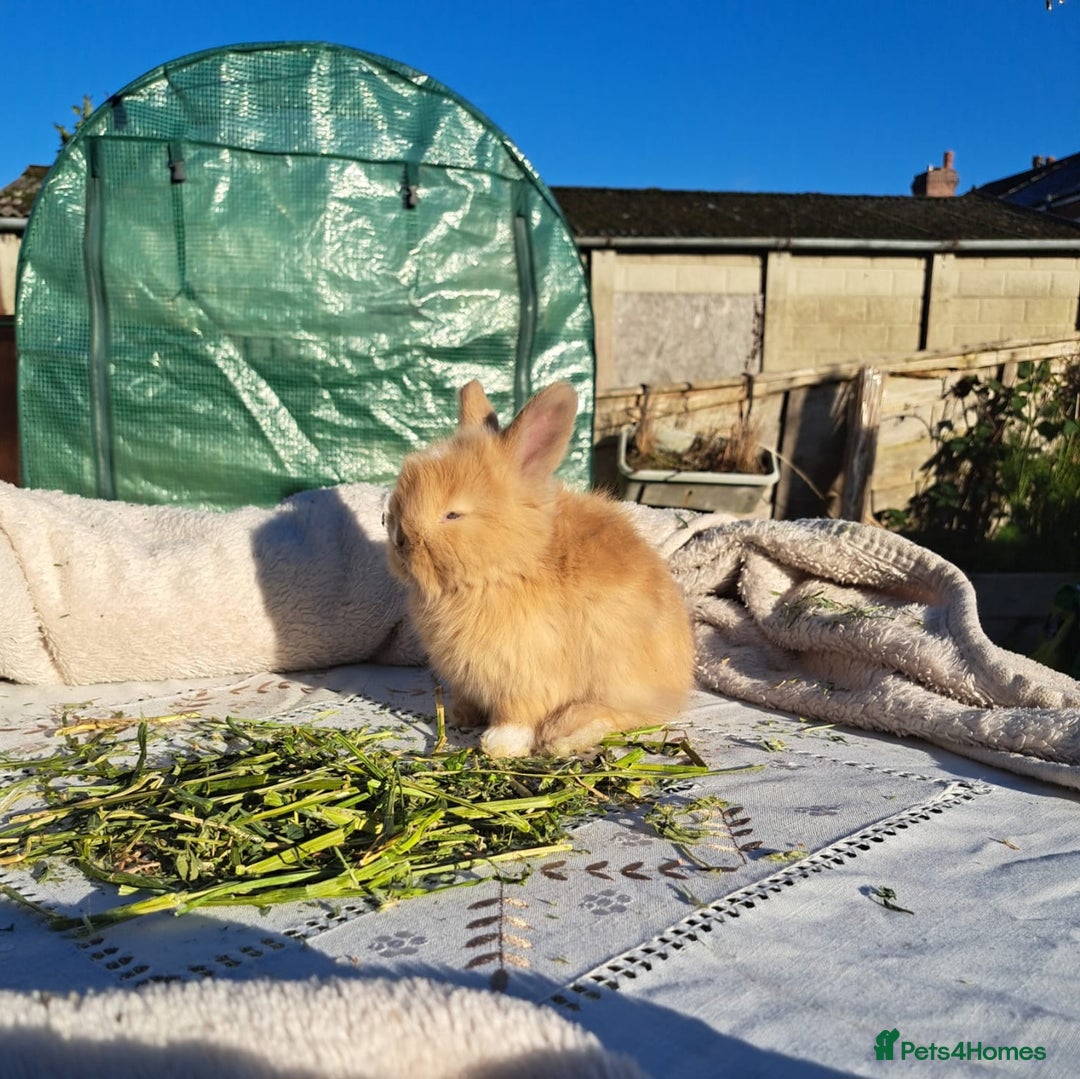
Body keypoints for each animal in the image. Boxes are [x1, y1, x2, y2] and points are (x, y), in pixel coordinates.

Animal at [384, 379, 695, 758]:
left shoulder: (526, 676)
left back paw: (563, 735)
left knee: (624, 716)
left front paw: (500, 744)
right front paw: (461, 713)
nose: (398, 538)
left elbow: (518, 714)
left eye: (453, 514)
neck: (511, 566)